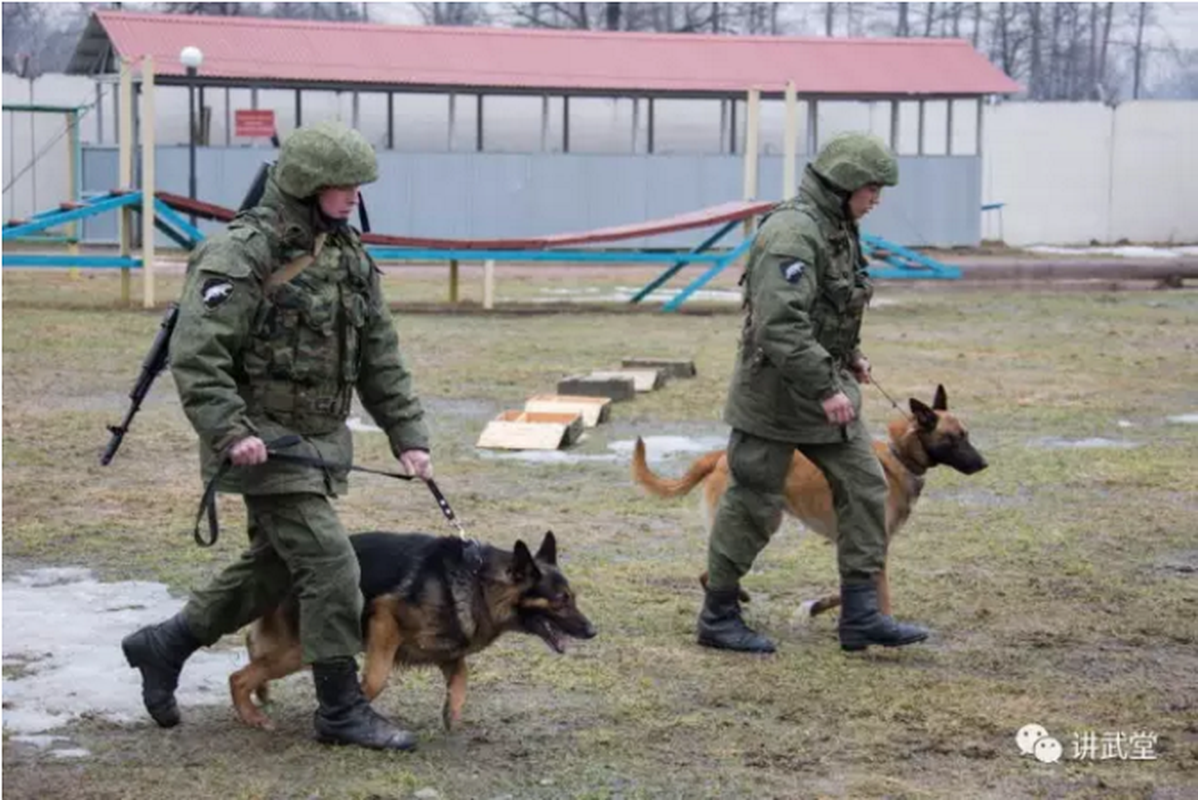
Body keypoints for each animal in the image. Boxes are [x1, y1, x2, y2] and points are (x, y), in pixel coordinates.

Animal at [227, 531, 594, 732]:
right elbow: (376, 679)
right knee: (237, 676)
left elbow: (461, 677)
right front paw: (357, 702)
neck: (480, 582)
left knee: (252, 646)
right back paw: (252, 716)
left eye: (573, 597)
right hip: (302, 649)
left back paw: (260, 696)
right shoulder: (385, 619)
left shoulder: (446, 648)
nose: (593, 631)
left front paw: (452, 714)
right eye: (561, 601)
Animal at [632, 388, 987, 617]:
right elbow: (880, 593)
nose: (984, 464)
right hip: (760, 522)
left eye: (967, 435)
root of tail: (719, 455)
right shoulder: (873, 544)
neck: (898, 457)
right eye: (953, 438)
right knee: (716, 566)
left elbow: (850, 586)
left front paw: (821, 605)